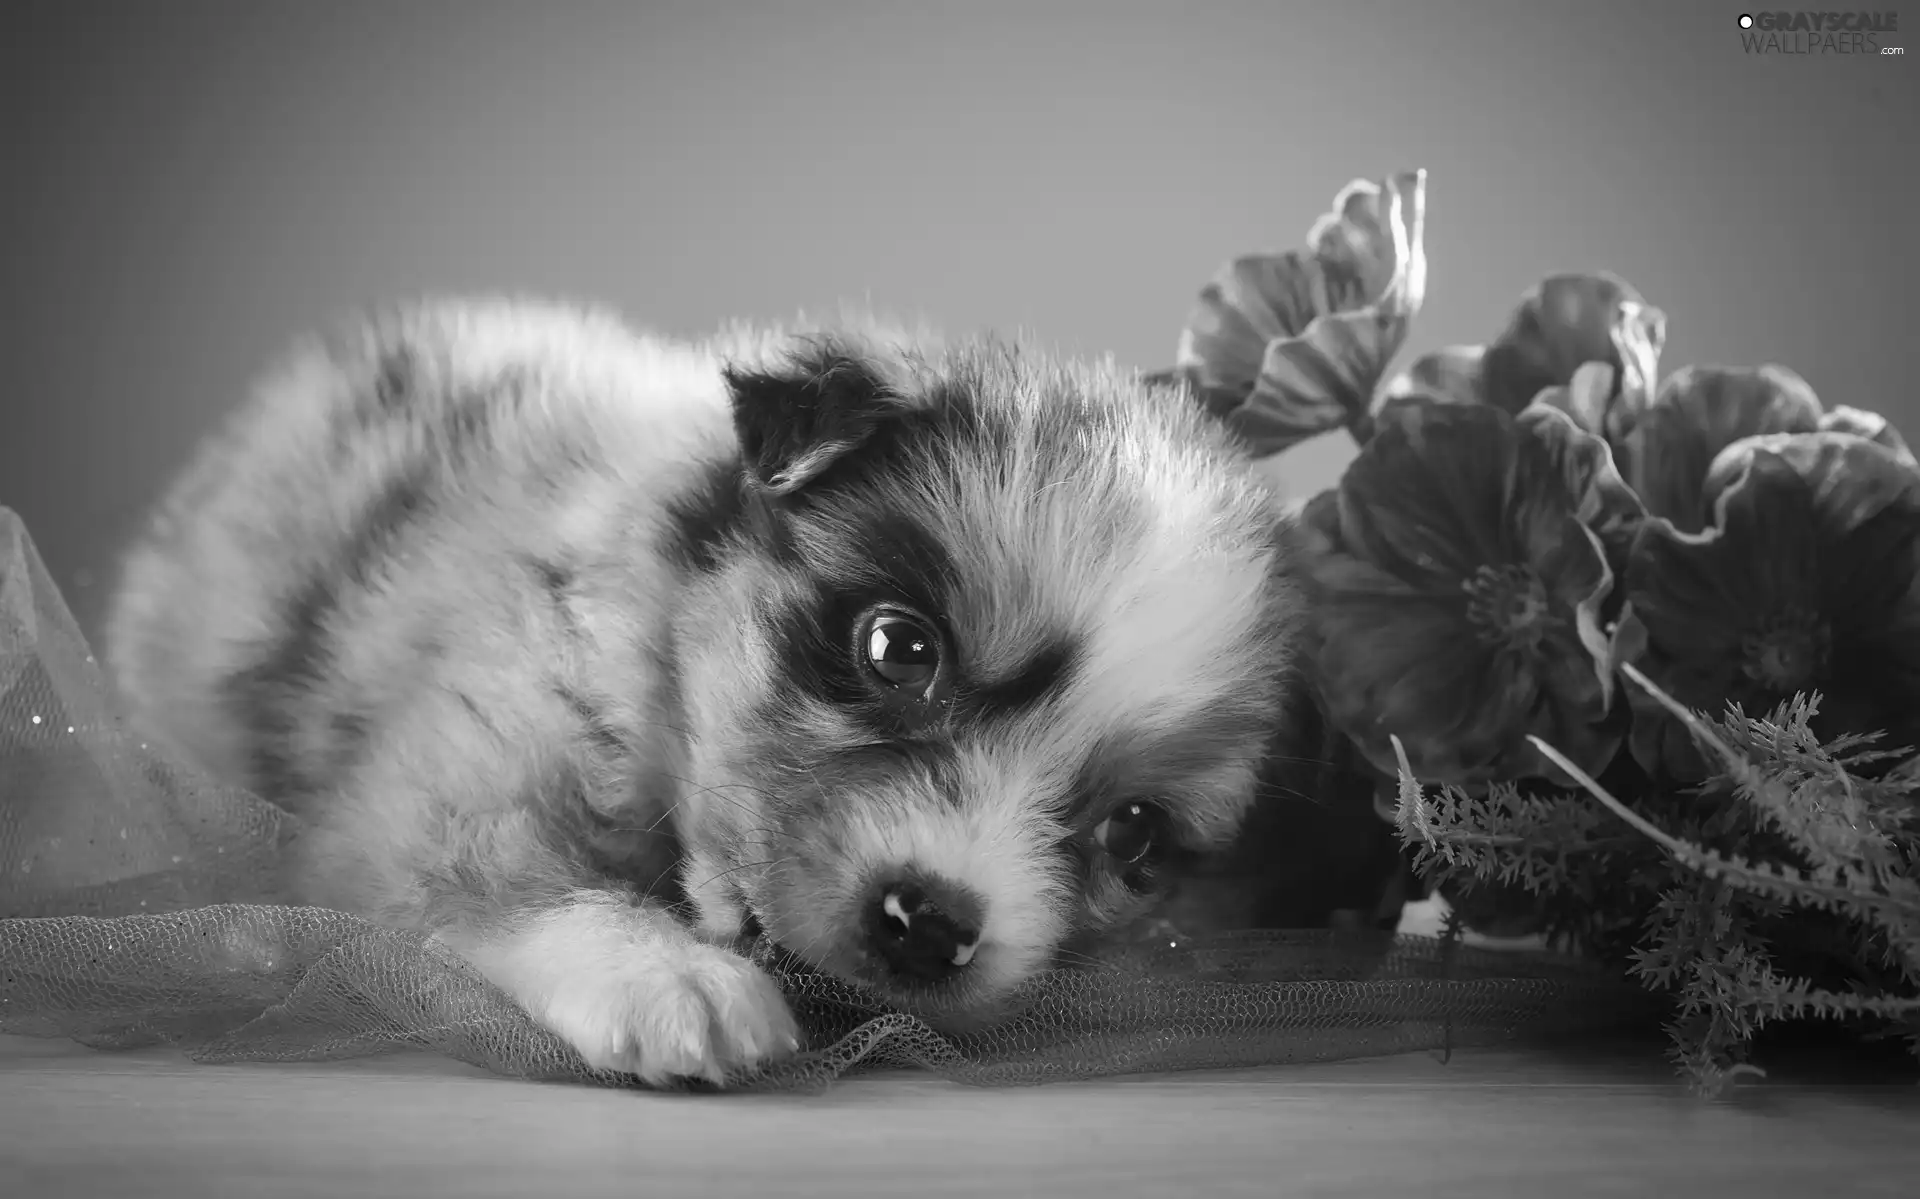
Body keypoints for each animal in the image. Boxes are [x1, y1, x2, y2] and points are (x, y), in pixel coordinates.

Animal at [105, 295, 1305, 1083]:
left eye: (1134, 833)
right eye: (899, 648)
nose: (929, 925)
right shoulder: (456, 772)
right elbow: (509, 870)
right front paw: (666, 975)